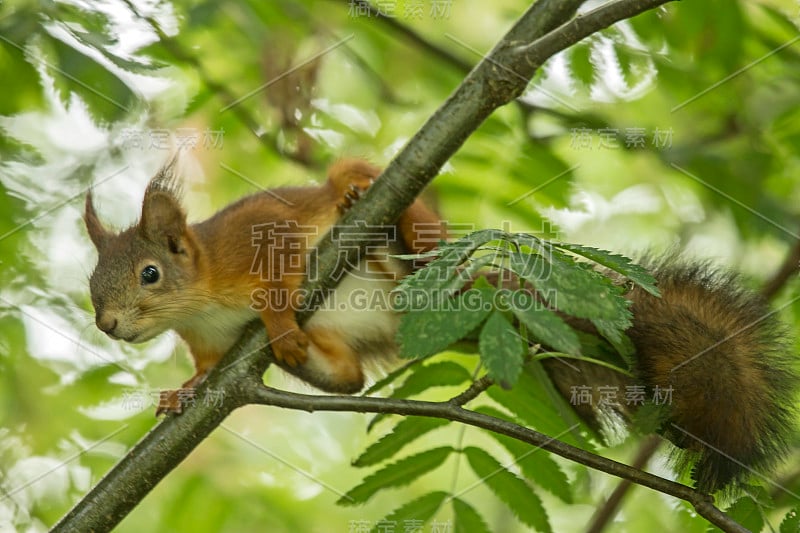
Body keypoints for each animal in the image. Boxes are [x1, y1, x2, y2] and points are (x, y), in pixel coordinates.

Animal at [85, 156, 446, 414]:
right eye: (92, 281)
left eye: (150, 274)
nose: (106, 324)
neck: (201, 309)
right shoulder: (208, 342)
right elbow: (207, 368)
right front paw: (183, 389)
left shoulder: (263, 230)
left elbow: (277, 284)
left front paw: (281, 328)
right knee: (348, 378)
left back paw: (363, 213)